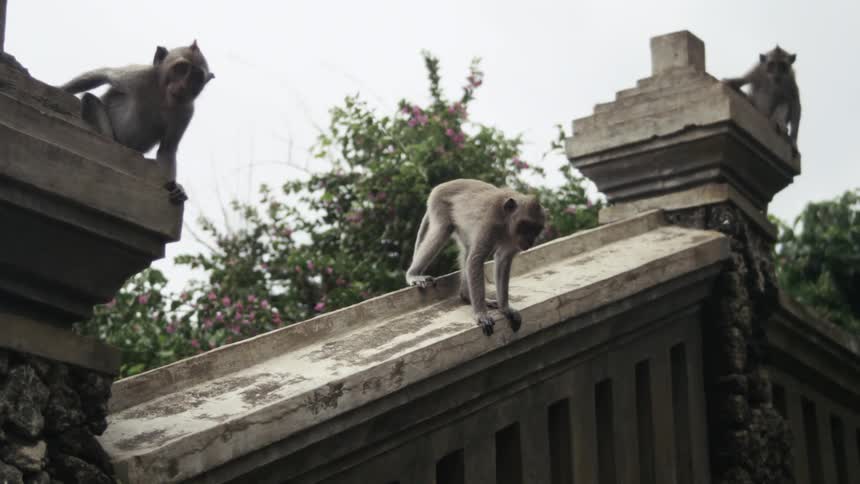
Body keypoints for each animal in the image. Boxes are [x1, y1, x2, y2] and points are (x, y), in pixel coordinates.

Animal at [60, 41, 215, 204]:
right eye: (180, 69)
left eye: (196, 77)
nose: (182, 86)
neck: (161, 95)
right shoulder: (137, 76)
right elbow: (101, 75)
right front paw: (58, 89)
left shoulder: (186, 111)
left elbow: (167, 149)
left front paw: (175, 188)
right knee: (90, 100)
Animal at [406, 179, 546, 336]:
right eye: (525, 225)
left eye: (536, 228)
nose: (530, 240)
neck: (505, 223)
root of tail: (441, 186)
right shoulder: (490, 222)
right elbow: (476, 259)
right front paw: (481, 314)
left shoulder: (512, 240)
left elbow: (503, 260)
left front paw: (505, 308)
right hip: (440, 204)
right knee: (442, 231)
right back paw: (413, 274)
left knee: (467, 248)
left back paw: (466, 296)